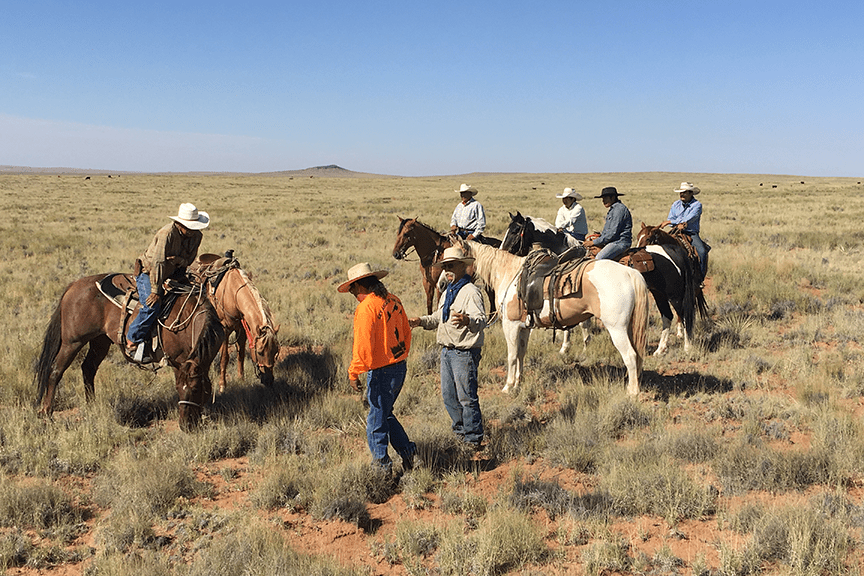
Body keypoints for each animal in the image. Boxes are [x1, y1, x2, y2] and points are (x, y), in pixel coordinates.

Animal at [36, 272, 226, 430]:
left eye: (195, 389)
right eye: (179, 388)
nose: (185, 426)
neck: (190, 318)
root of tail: (74, 285)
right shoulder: (177, 360)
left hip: (100, 341)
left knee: (88, 369)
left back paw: (91, 406)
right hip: (72, 342)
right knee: (55, 371)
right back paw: (46, 413)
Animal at [190, 254, 280, 394]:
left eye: (276, 351)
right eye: (260, 352)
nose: (269, 380)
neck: (232, 293)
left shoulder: (242, 329)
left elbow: (241, 354)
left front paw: (241, 379)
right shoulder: (225, 329)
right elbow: (224, 358)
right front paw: (222, 385)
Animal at [460, 238, 648, 396]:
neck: (509, 274)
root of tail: (630, 273)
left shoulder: (510, 325)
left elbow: (512, 356)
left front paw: (508, 386)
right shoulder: (524, 327)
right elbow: (521, 353)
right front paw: (518, 382)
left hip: (617, 329)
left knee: (630, 356)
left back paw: (632, 392)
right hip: (629, 328)